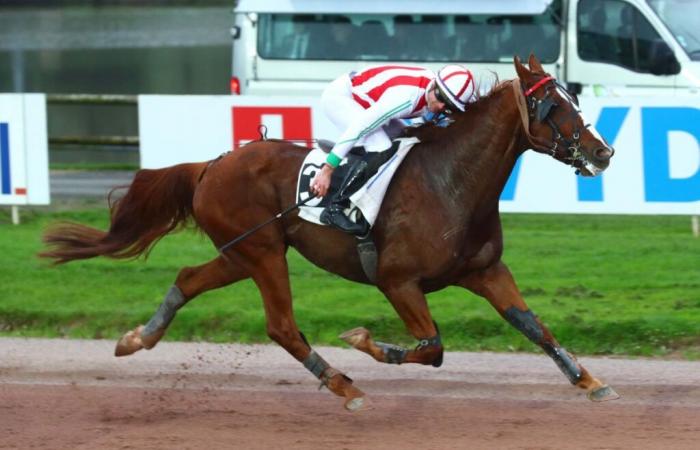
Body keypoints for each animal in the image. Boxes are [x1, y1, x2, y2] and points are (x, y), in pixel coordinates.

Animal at [39, 54, 616, 410]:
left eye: (574, 100)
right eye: (555, 107)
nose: (603, 151)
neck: (451, 182)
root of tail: (211, 164)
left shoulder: (486, 270)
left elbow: (535, 327)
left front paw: (590, 381)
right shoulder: (397, 281)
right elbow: (431, 348)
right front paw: (362, 340)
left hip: (240, 252)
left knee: (186, 277)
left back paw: (138, 338)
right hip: (263, 253)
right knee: (281, 327)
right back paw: (343, 385)